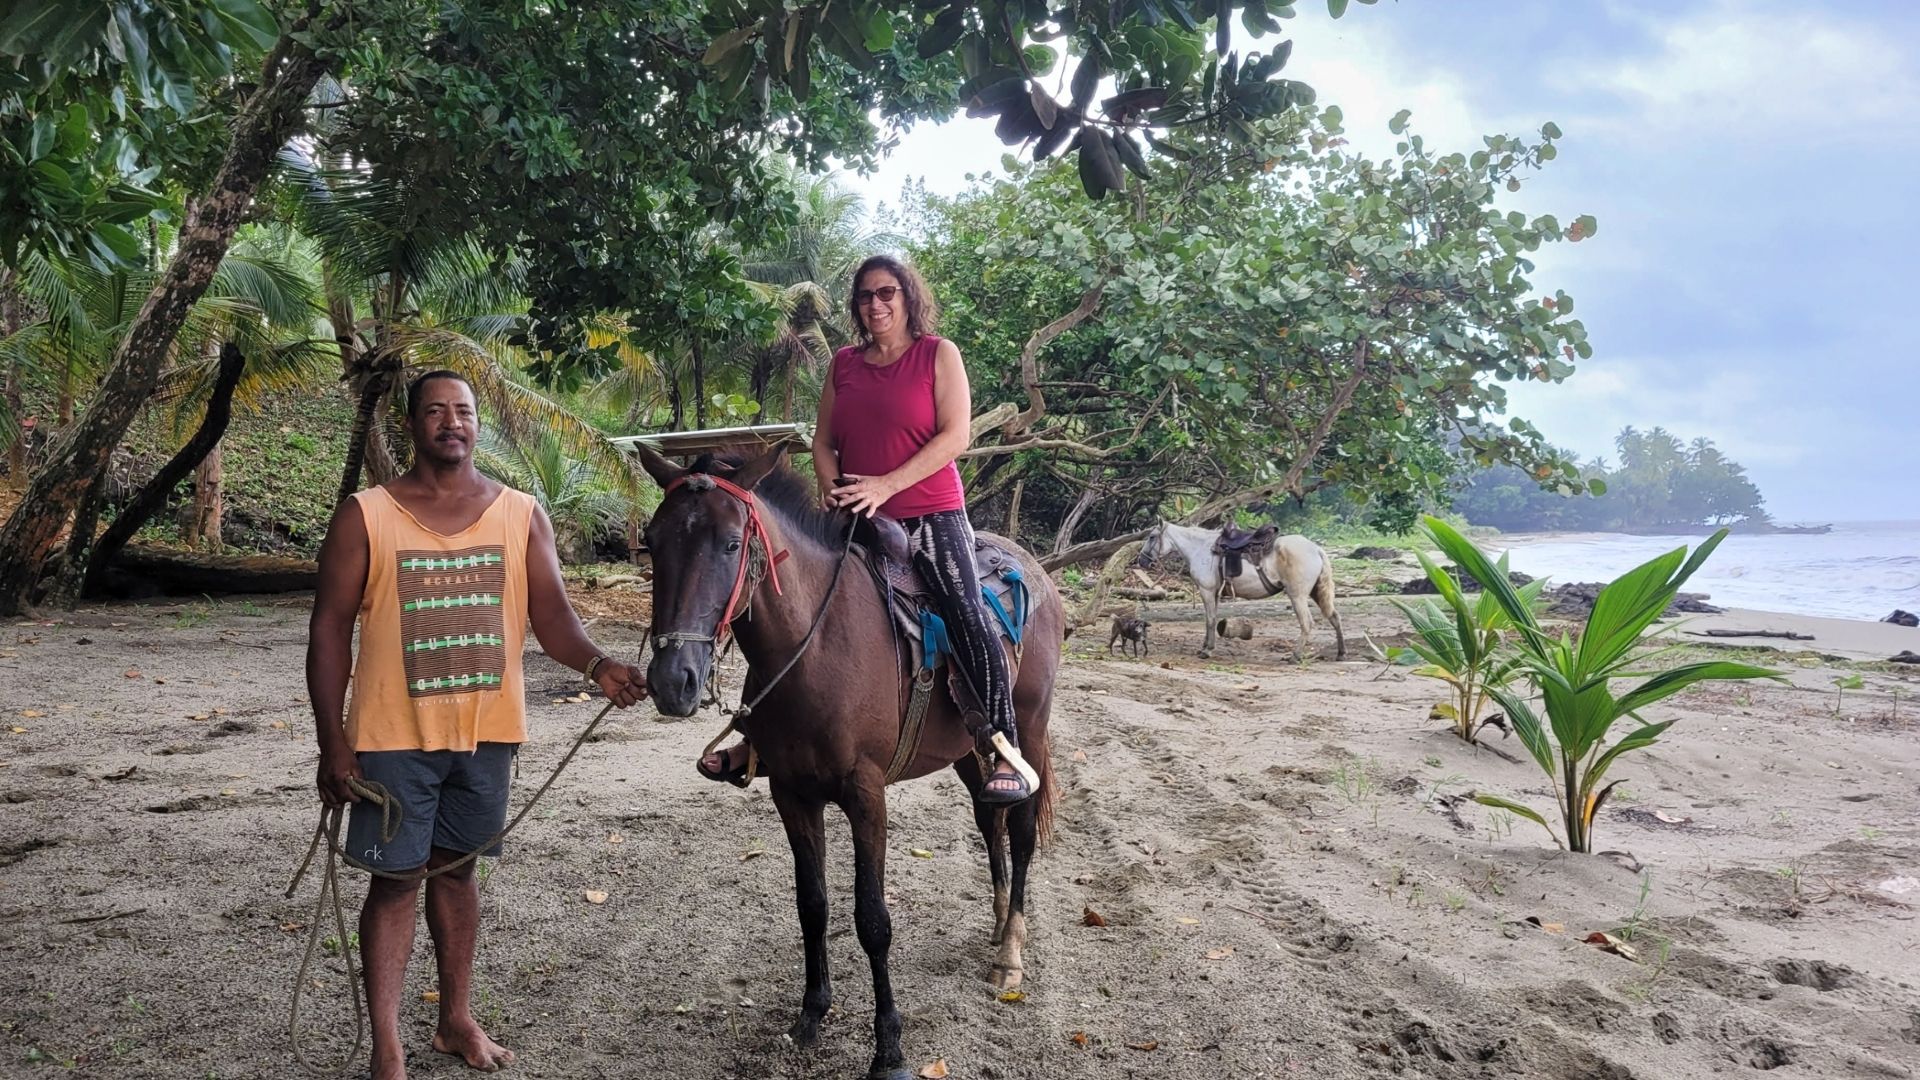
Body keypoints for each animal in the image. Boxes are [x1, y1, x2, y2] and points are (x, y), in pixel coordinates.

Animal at [641, 443, 1067, 1076]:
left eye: (732, 543)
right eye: (651, 542)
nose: (673, 682)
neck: (815, 647)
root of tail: (1034, 571)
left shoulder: (866, 796)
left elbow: (872, 920)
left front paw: (888, 1047)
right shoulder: (791, 794)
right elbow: (812, 905)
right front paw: (811, 1016)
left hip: (1030, 734)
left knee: (1020, 831)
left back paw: (1010, 953)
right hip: (972, 751)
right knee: (988, 817)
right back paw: (995, 925)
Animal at [1136, 518, 1351, 661]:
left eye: (1152, 537)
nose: (1141, 561)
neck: (1200, 549)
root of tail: (1316, 549)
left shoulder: (1207, 591)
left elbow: (1210, 619)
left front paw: (1207, 650)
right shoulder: (1214, 593)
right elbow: (1210, 620)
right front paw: (1205, 647)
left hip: (1297, 596)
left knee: (1307, 623)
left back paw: (1295, 656)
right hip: (1317, 593)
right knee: (1335, 617)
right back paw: (1341, 653)